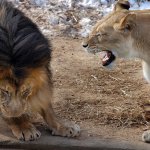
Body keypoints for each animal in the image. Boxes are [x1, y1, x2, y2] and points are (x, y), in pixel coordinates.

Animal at [0, 0, 79, 141]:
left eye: (26, 91)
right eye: (4, 91)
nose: (15, 114)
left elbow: (46, 106)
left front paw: (63, 126)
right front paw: (24, 127)